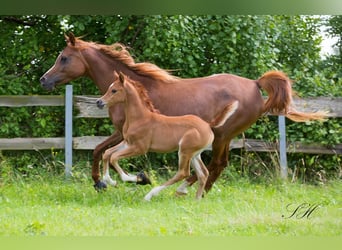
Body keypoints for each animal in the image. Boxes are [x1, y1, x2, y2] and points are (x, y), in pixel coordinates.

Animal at [96, 71, 214, 200]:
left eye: (114, 90)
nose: (99, 102)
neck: (139, 118)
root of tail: (208, 126)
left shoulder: (140, 148)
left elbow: (114, 157)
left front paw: (139, 178)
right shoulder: (128, 143)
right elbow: (107, 154)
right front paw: (111, 181)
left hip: (185, 151)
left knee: (183, 173)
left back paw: (150, 195)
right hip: (194, 154)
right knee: (203, 173)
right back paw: (196, 199)